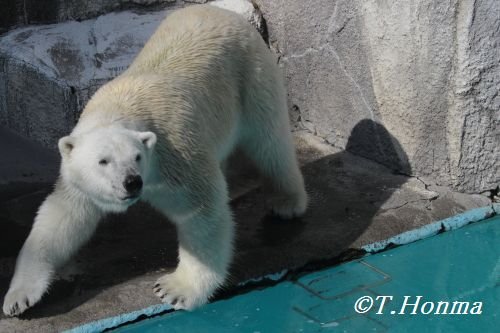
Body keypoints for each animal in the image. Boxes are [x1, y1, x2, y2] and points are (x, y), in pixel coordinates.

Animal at [3, 5, 306, 316]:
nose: (132, 183)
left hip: (251, 75)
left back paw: (287, 202)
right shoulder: (78, 179)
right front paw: (18, 297)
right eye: (103, 161)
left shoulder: (178, 155)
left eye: (137, 156)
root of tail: (222, 10)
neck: (119, 109)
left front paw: (176, 290)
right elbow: (62, 218)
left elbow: (202, 212)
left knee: (270, 144)